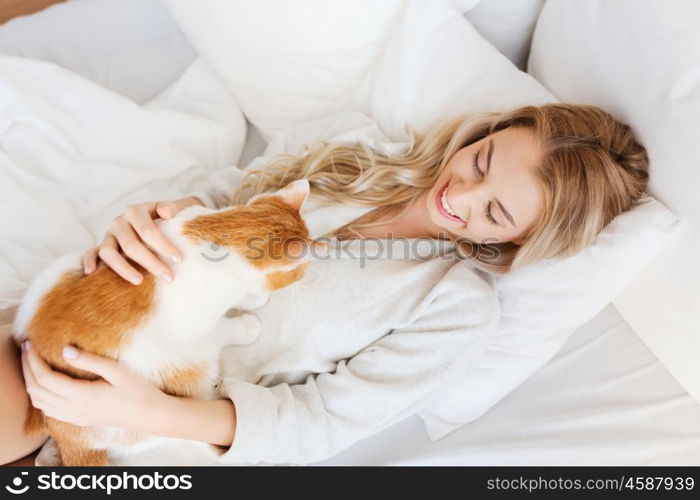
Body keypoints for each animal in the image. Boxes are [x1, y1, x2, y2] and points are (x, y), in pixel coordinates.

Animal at [13, 179, 326, 464]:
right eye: (299, 272)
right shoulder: (194, 332)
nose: (306, 272)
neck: (213, 234)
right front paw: (250, 318)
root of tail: (61, 433)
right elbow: (225, 327)